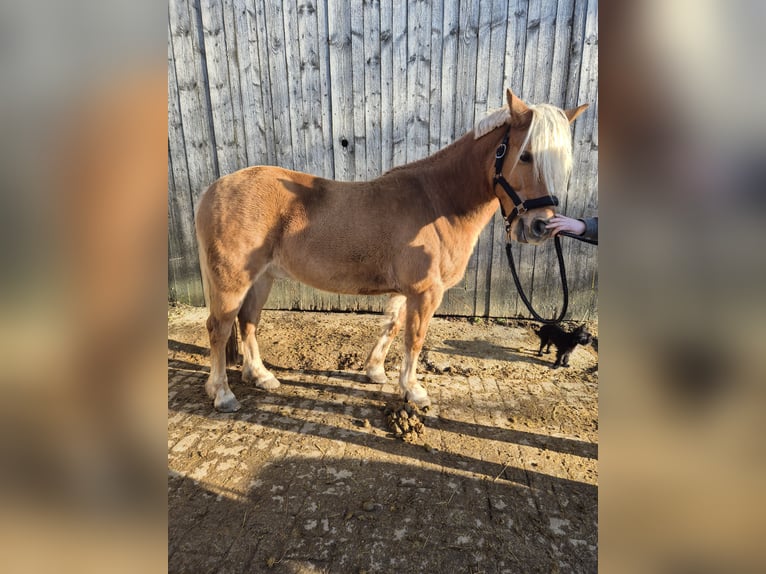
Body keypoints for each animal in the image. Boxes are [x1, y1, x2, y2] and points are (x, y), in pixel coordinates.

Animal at [194, 89, 588, 414]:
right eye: (527, 156)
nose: (540, 227)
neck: (437, 201)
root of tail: (214, 189)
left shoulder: (407, 290)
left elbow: (392, 325)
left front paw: (375, 372)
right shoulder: (426, 292)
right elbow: (414, 338)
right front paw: (413, 391)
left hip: (262, 278)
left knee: (248, 322)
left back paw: (261, 376)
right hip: (232, 281)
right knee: (219, 327)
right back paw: (223, 394)